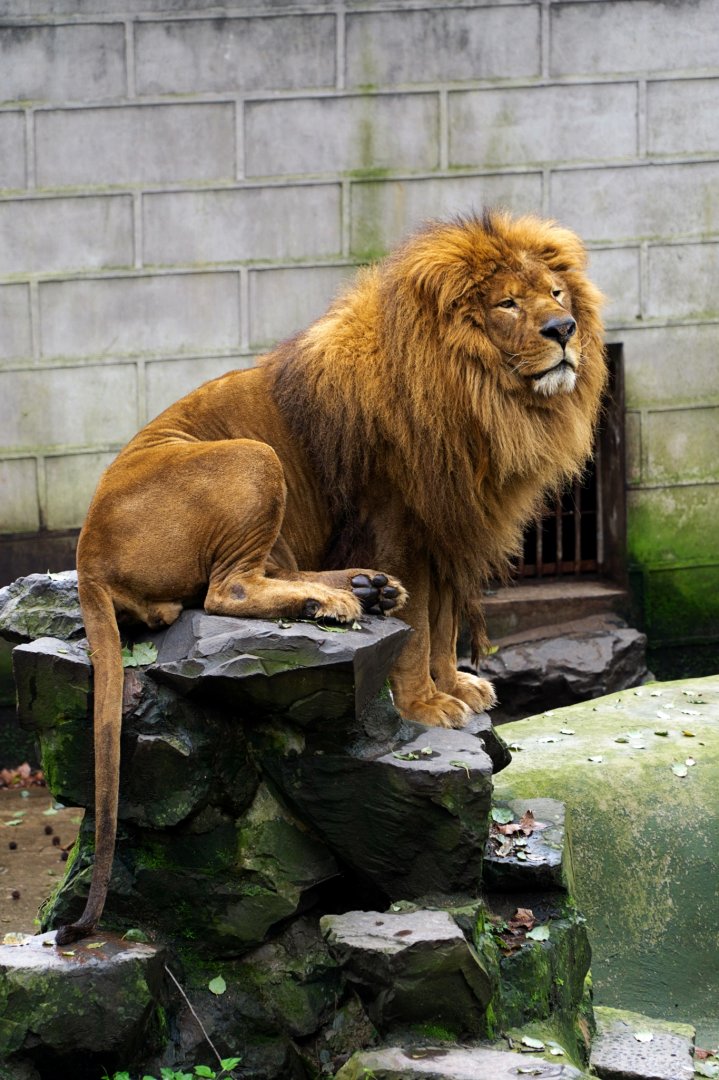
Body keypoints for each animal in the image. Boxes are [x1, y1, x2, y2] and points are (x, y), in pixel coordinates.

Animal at [56, 209, 606, 944]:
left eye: (555, 293)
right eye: (508, 304)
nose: (563, 330)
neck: (481, 395)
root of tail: (85, 550)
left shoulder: (445, 525)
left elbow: (440, 626)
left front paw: (456, 685)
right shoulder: (401, 521)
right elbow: (418, 631)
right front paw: (427, 705)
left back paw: (362, 588)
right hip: (253, 458)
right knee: (224, 590)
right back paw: (336, 602)